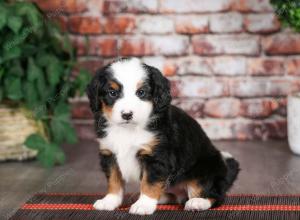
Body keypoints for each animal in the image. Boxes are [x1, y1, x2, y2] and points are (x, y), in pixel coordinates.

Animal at [86, 57, 239, 216]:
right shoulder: (109, 154)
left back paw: (198, 202)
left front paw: (143, 205)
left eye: (141, 92)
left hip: (205, 169)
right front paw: (110, 201)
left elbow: (149, 182)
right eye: (112, 93)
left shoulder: (157, 156)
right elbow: (114, 180)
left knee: (215, 194)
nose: (127, 115)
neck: (128, 130)